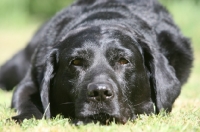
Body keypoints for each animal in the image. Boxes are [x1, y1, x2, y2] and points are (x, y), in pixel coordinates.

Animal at [0, 0, 194, 124]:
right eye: (76, 62)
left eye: (124, 61)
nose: (100, 92)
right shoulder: (29, 81)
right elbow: (26, 100)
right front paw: (23, 118)